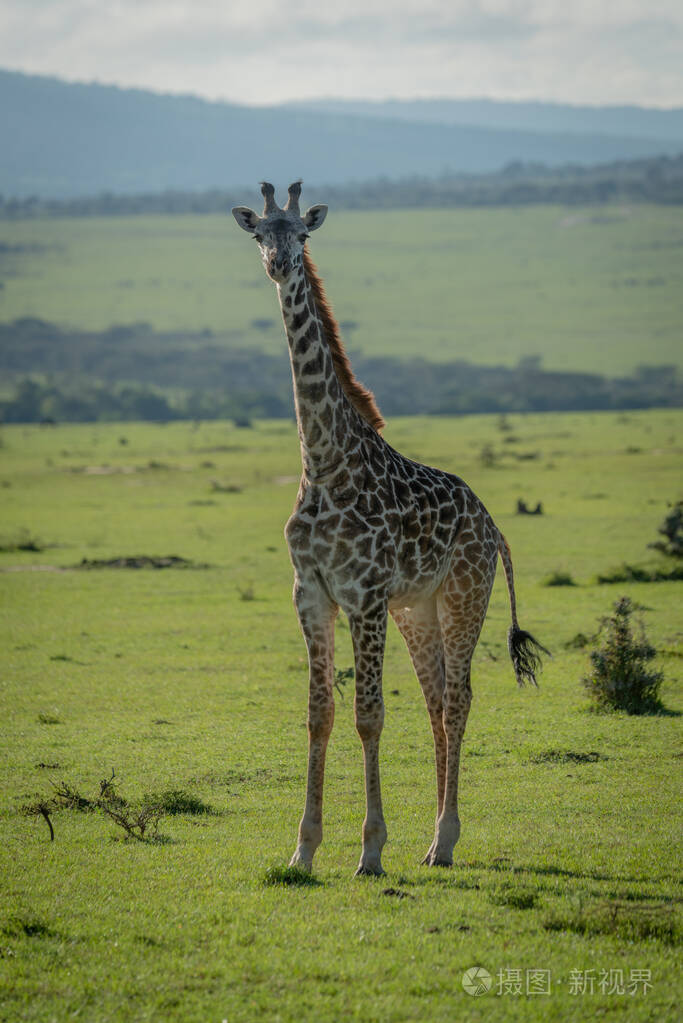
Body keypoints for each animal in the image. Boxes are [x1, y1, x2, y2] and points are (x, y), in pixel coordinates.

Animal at [232, 180, 548, 875]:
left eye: (303, 233)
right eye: (260, 233)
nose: (280, 265)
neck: (324, 461)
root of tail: (493, 525)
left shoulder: (366, 596)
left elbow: (368, 714)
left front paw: (371, 850)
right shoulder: (311, 592)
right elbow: (319, 713)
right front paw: (303, 850)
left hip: (463, 594)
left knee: (458, 700)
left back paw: (446, 839)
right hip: (418, 609)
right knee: (435, 701)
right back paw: (433, 840)